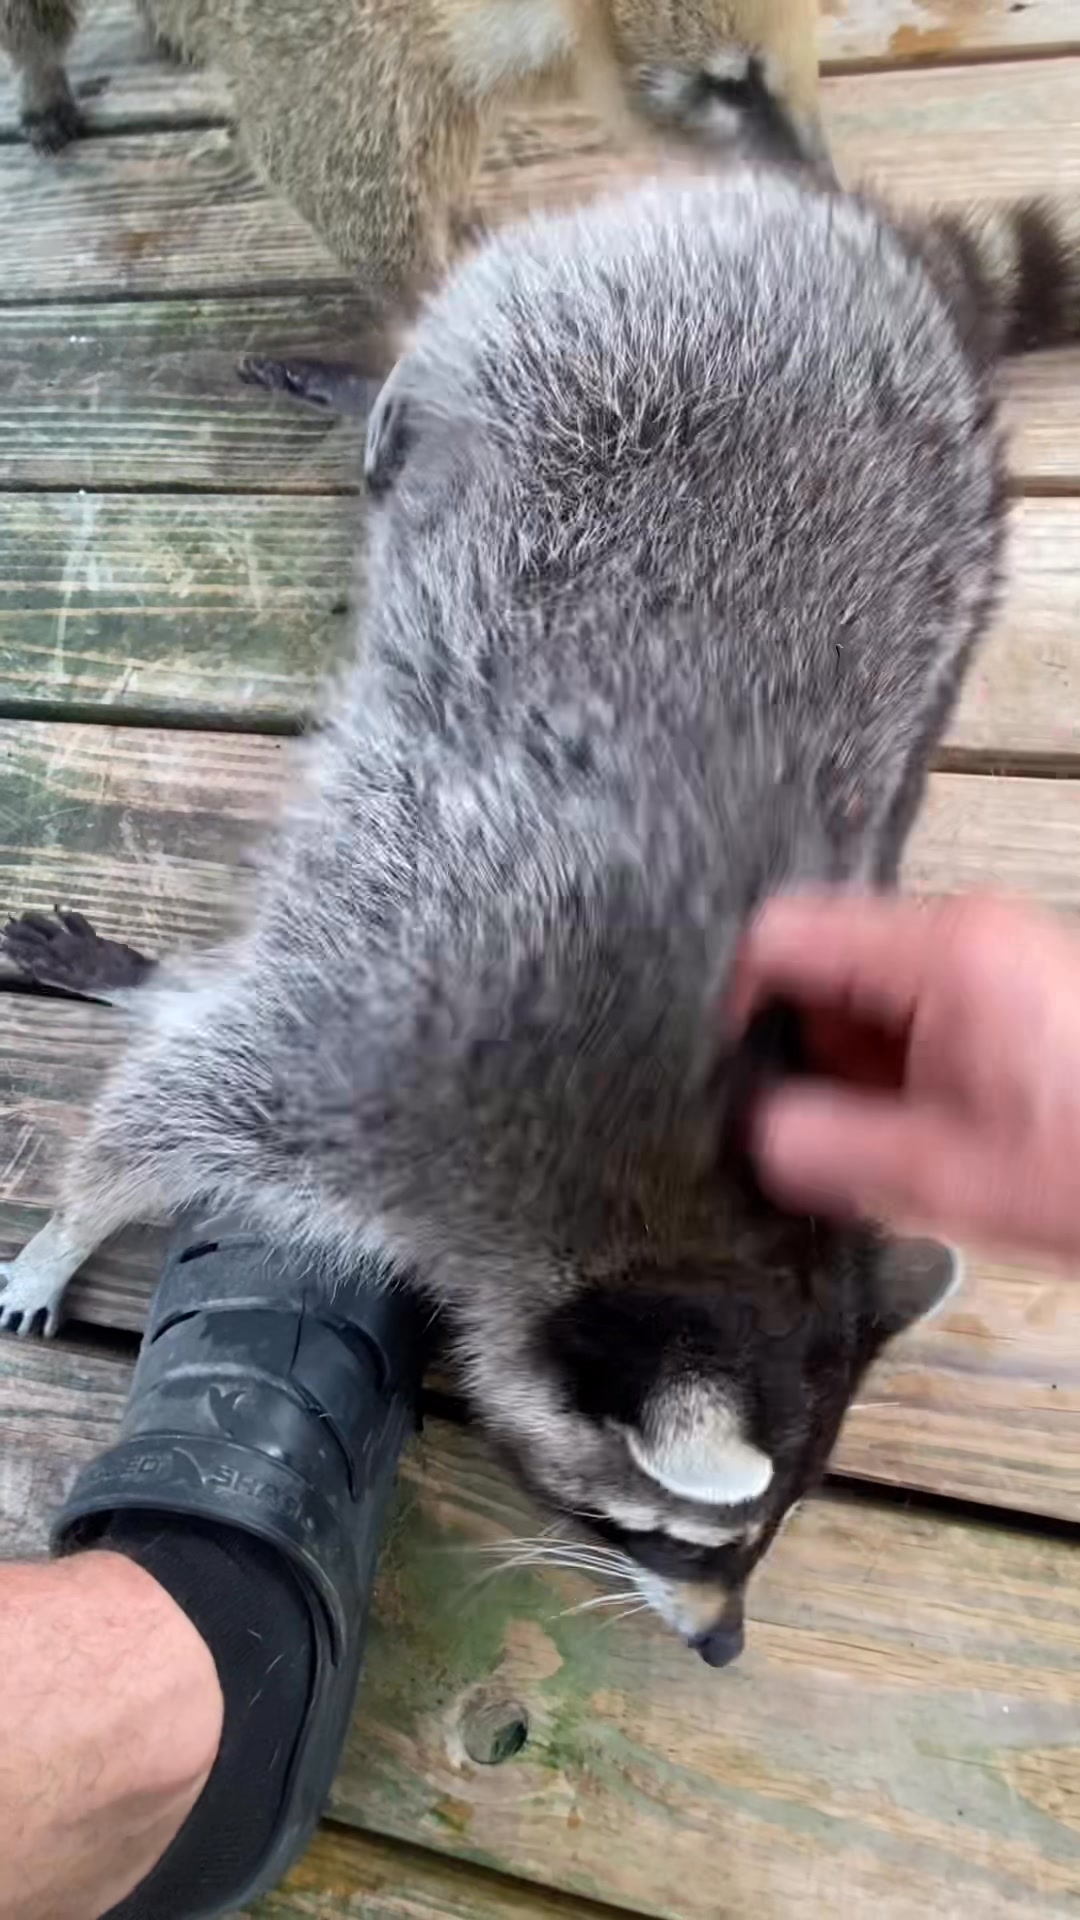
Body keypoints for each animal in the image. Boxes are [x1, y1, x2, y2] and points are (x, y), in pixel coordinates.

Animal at [5, 169, 1077, 1660]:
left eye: (775, 1531)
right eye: (675, 1532)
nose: (723, 1646)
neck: (666, 1202)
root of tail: (847, 241)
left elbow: (217, 1011)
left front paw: (150, 989)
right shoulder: (413, 1050)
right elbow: (179, 1099)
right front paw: (70, 1222)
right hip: (599, 323)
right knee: (467, 327)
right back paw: (390, 387)